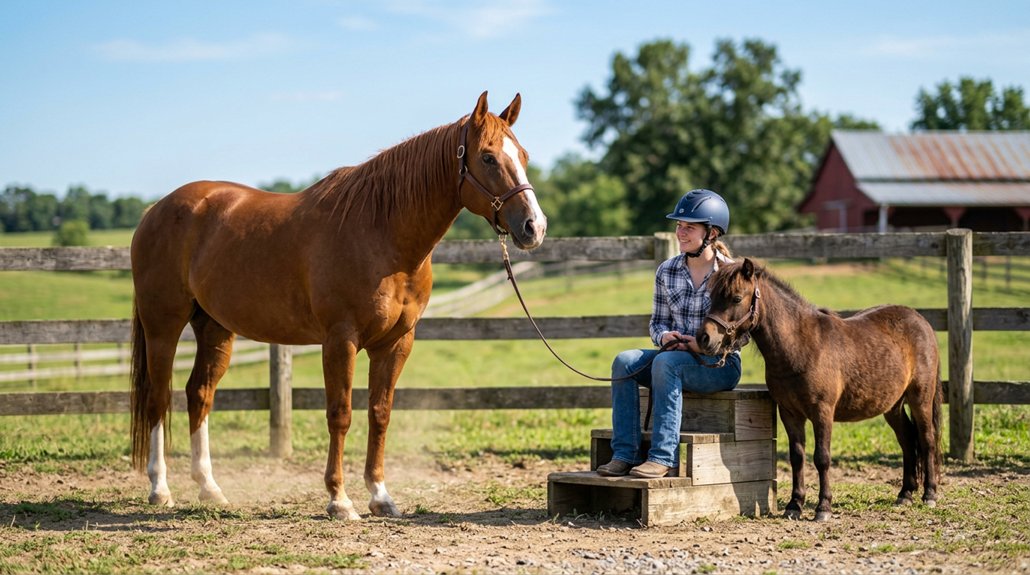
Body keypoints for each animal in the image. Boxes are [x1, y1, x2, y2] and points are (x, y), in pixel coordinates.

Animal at [129, 92, 547, 520]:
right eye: (488, 157)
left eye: (524, 155)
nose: (534, 227)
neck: (380, 233)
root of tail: (156, 210)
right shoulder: (340, 340)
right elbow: (340, 414)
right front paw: (339, 499)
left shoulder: (396, 343)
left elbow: (380, 413)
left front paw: (380, 496)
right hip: (163, 325)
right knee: (158, 398)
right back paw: (160, 489)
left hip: (214, 327)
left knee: (199, 394)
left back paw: (209, 488)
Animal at [697, 258, 942, 521]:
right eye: (711, 296)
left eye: (736, 298)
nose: (704, 338)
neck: (800, 345)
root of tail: (921, 321)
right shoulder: (789, 413)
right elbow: (797, 457)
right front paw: (794, 505)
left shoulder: (822, 412)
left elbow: (822, 457)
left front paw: (823, 507)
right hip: (892, 406)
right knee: (907, 439)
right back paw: (905, 494)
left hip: (920, 399)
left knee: (927, 439)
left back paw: (929, 494)